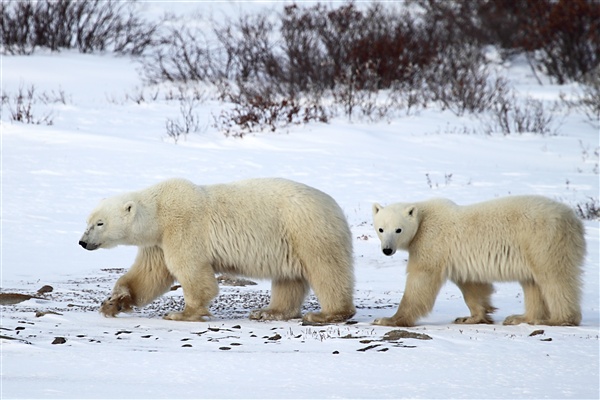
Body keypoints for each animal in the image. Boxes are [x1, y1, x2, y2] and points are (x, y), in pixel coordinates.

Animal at [77, 177, 354, 322]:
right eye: (88, 221)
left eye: (100, 223)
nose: (82, 242)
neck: (159, 212)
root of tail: (337, 208)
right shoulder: (158, 242)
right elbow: (149, 275)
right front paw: (113, 302)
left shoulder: (182, 228)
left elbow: (190, 271)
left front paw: (181, 313)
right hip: (289, 242)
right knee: (288, 278)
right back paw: (268, 311)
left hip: (308, 231)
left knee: (327, 271)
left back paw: (327, 314)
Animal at [372, 195, 584, 326]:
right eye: (381, 229)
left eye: (398, 229)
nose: (387, 249)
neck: (424, 219)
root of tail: (574, 220)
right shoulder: (458, 258)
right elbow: (472, 286)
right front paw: (471, 317)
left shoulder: (431, 241)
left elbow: (421, 281)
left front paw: (387, 320)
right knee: (531, 282)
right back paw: (520, 317)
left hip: (543, 240)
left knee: (554, 279)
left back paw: (556, 319)